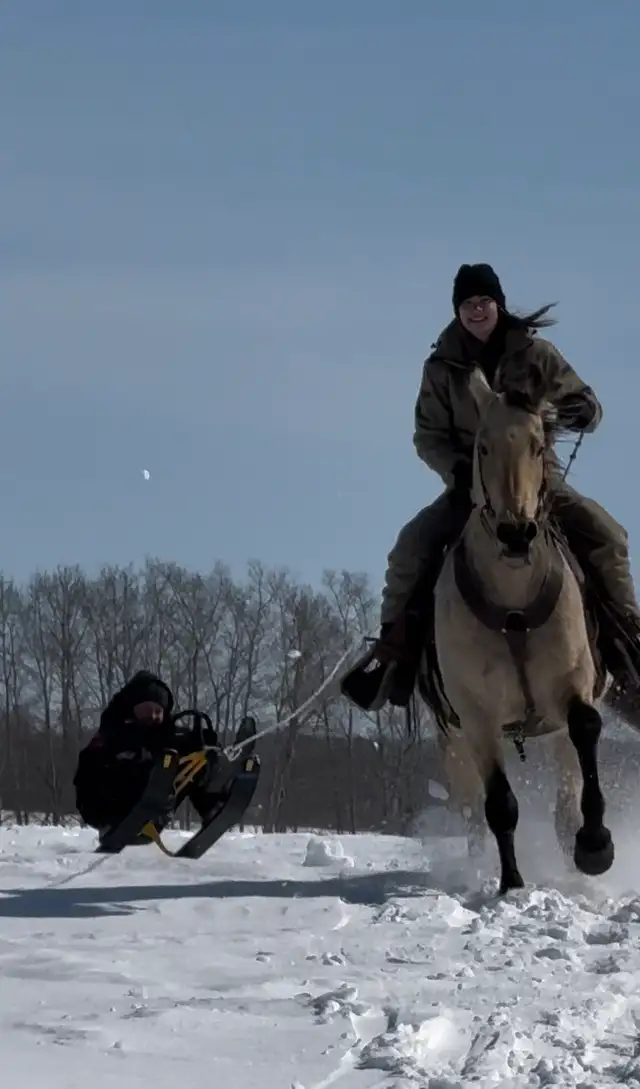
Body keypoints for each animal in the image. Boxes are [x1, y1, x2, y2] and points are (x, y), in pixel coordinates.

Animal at [424, 364, 614, 894]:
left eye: (536, 444)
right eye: (483, 447)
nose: (515, 534)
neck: (512, 605)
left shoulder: (572, 685)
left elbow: (586, 731)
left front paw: (596, 847)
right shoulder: (476, 717)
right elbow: (499, 806)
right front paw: (511, 883)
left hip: (552, 732)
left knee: (564, 802)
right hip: (453, 741)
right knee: (472, 816)